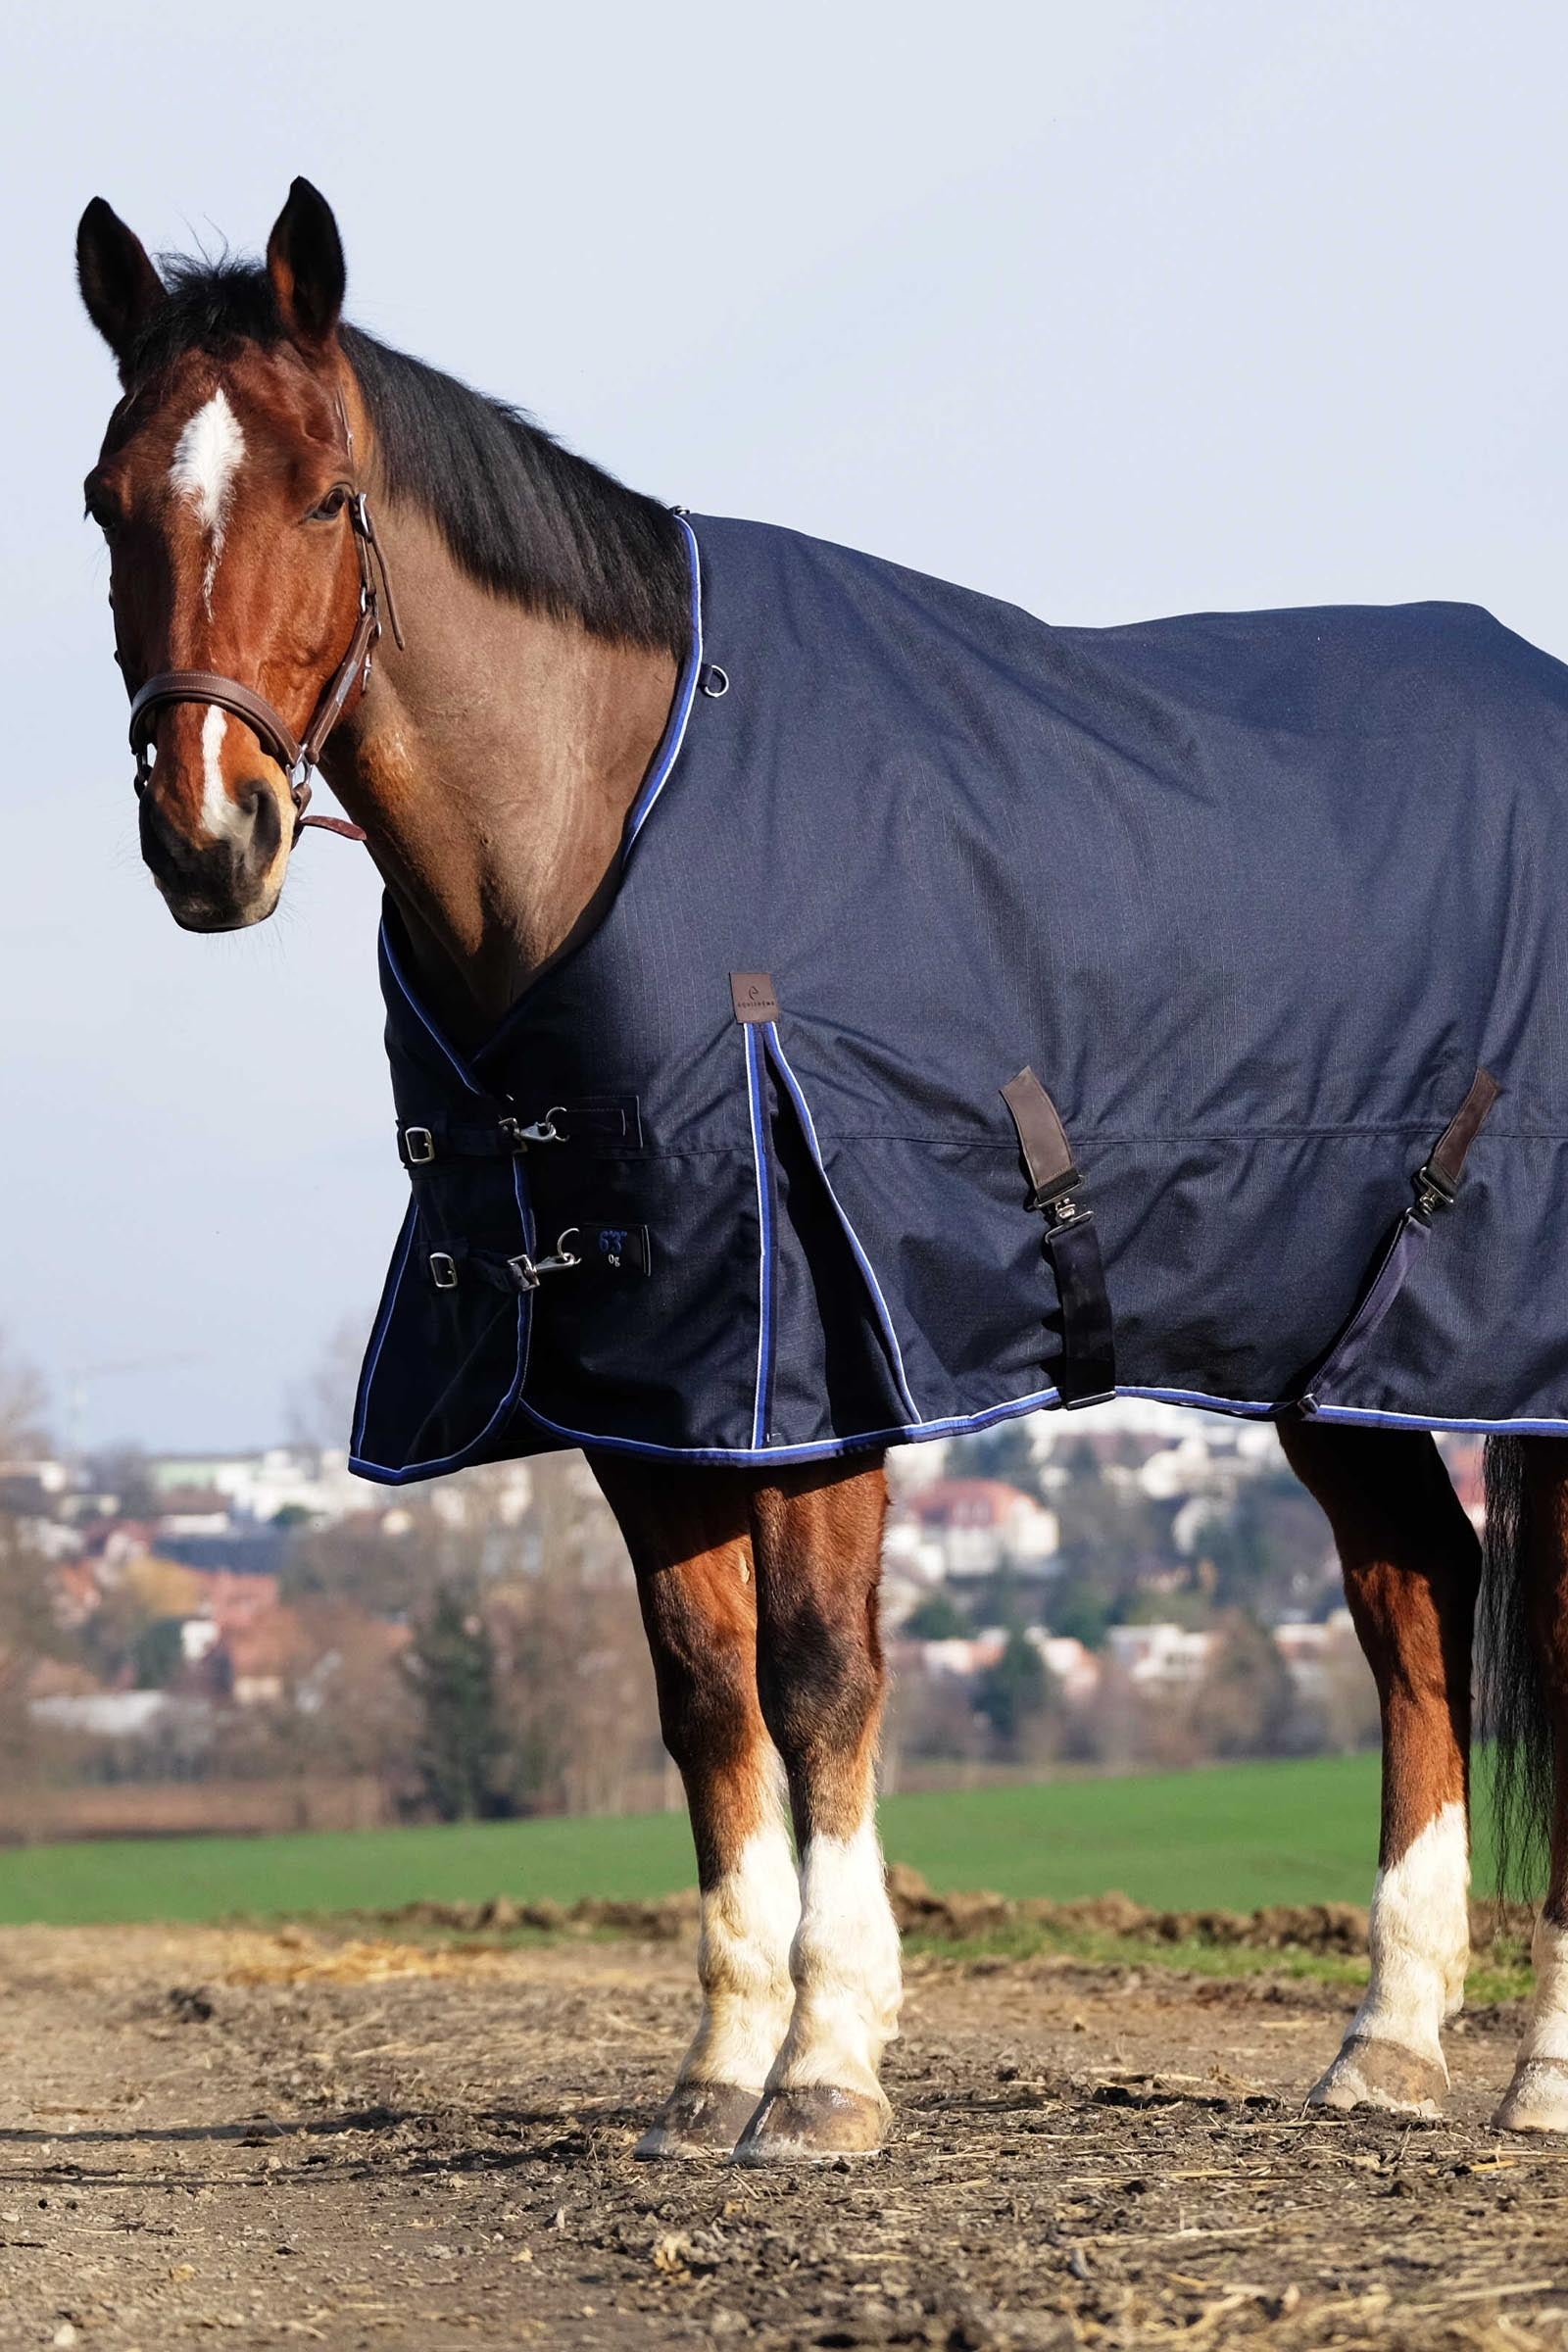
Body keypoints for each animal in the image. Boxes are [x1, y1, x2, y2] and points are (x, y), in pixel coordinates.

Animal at [75, 178, 1568, 2157]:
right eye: (108, 497)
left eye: (326, 494)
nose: (208, 833)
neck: (613, 805)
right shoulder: (649, 1376)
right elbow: (706, 1696)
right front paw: (717, 2063)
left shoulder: (819, 1343)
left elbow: (817, 1672)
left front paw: (830, 2063)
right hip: (1343, 1350)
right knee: (1417, 1604)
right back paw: (1388, 2043)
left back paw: (1543, 2074)